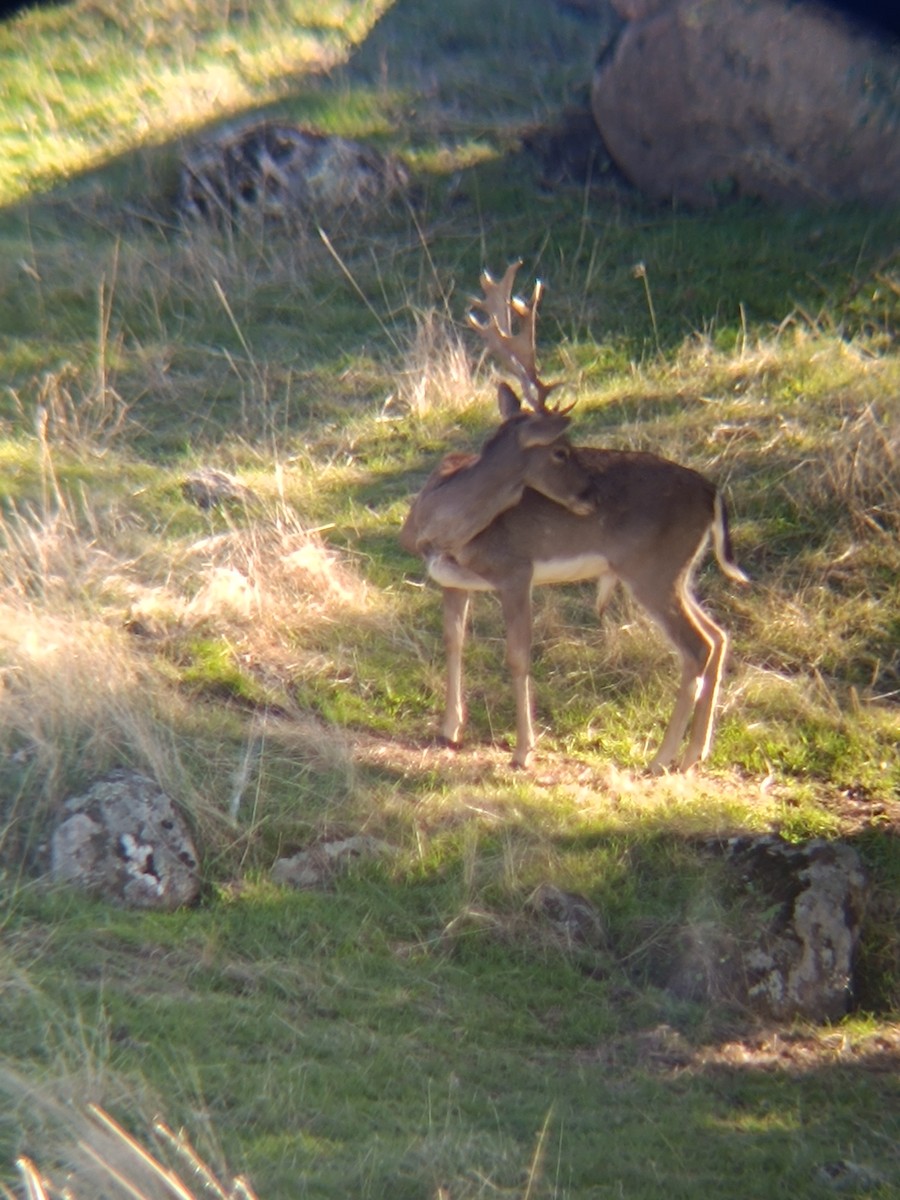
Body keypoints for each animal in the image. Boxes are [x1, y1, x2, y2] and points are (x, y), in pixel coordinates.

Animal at [400, 262, 748, 773]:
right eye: (561, 451)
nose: (591, 493)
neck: (446, 525)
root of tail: (713, 492)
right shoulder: (451, 580)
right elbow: (453, 642)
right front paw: (448, 730)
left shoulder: (516, 570)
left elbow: (518, 657)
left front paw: (523, 752)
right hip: (680, 571)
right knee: (718, 636)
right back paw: (693, 754)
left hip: (653, 569)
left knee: (697, 648)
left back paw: (663, 758)